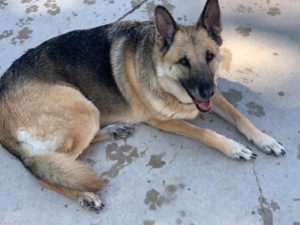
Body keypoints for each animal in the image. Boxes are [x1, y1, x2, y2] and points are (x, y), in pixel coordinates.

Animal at [0, 0, 284, 211]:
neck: (164, 78)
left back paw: (113, 130)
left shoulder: (212, 97)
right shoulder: (163, 121)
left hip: (89, 112)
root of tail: (1, 93)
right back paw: (84, 195)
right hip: (84, 110)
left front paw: (265, 139)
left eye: (209, 56)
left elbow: (240, 116)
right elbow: (206, 132)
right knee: (45, 170)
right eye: (183, 61)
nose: (207, 91)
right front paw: (233, 147)